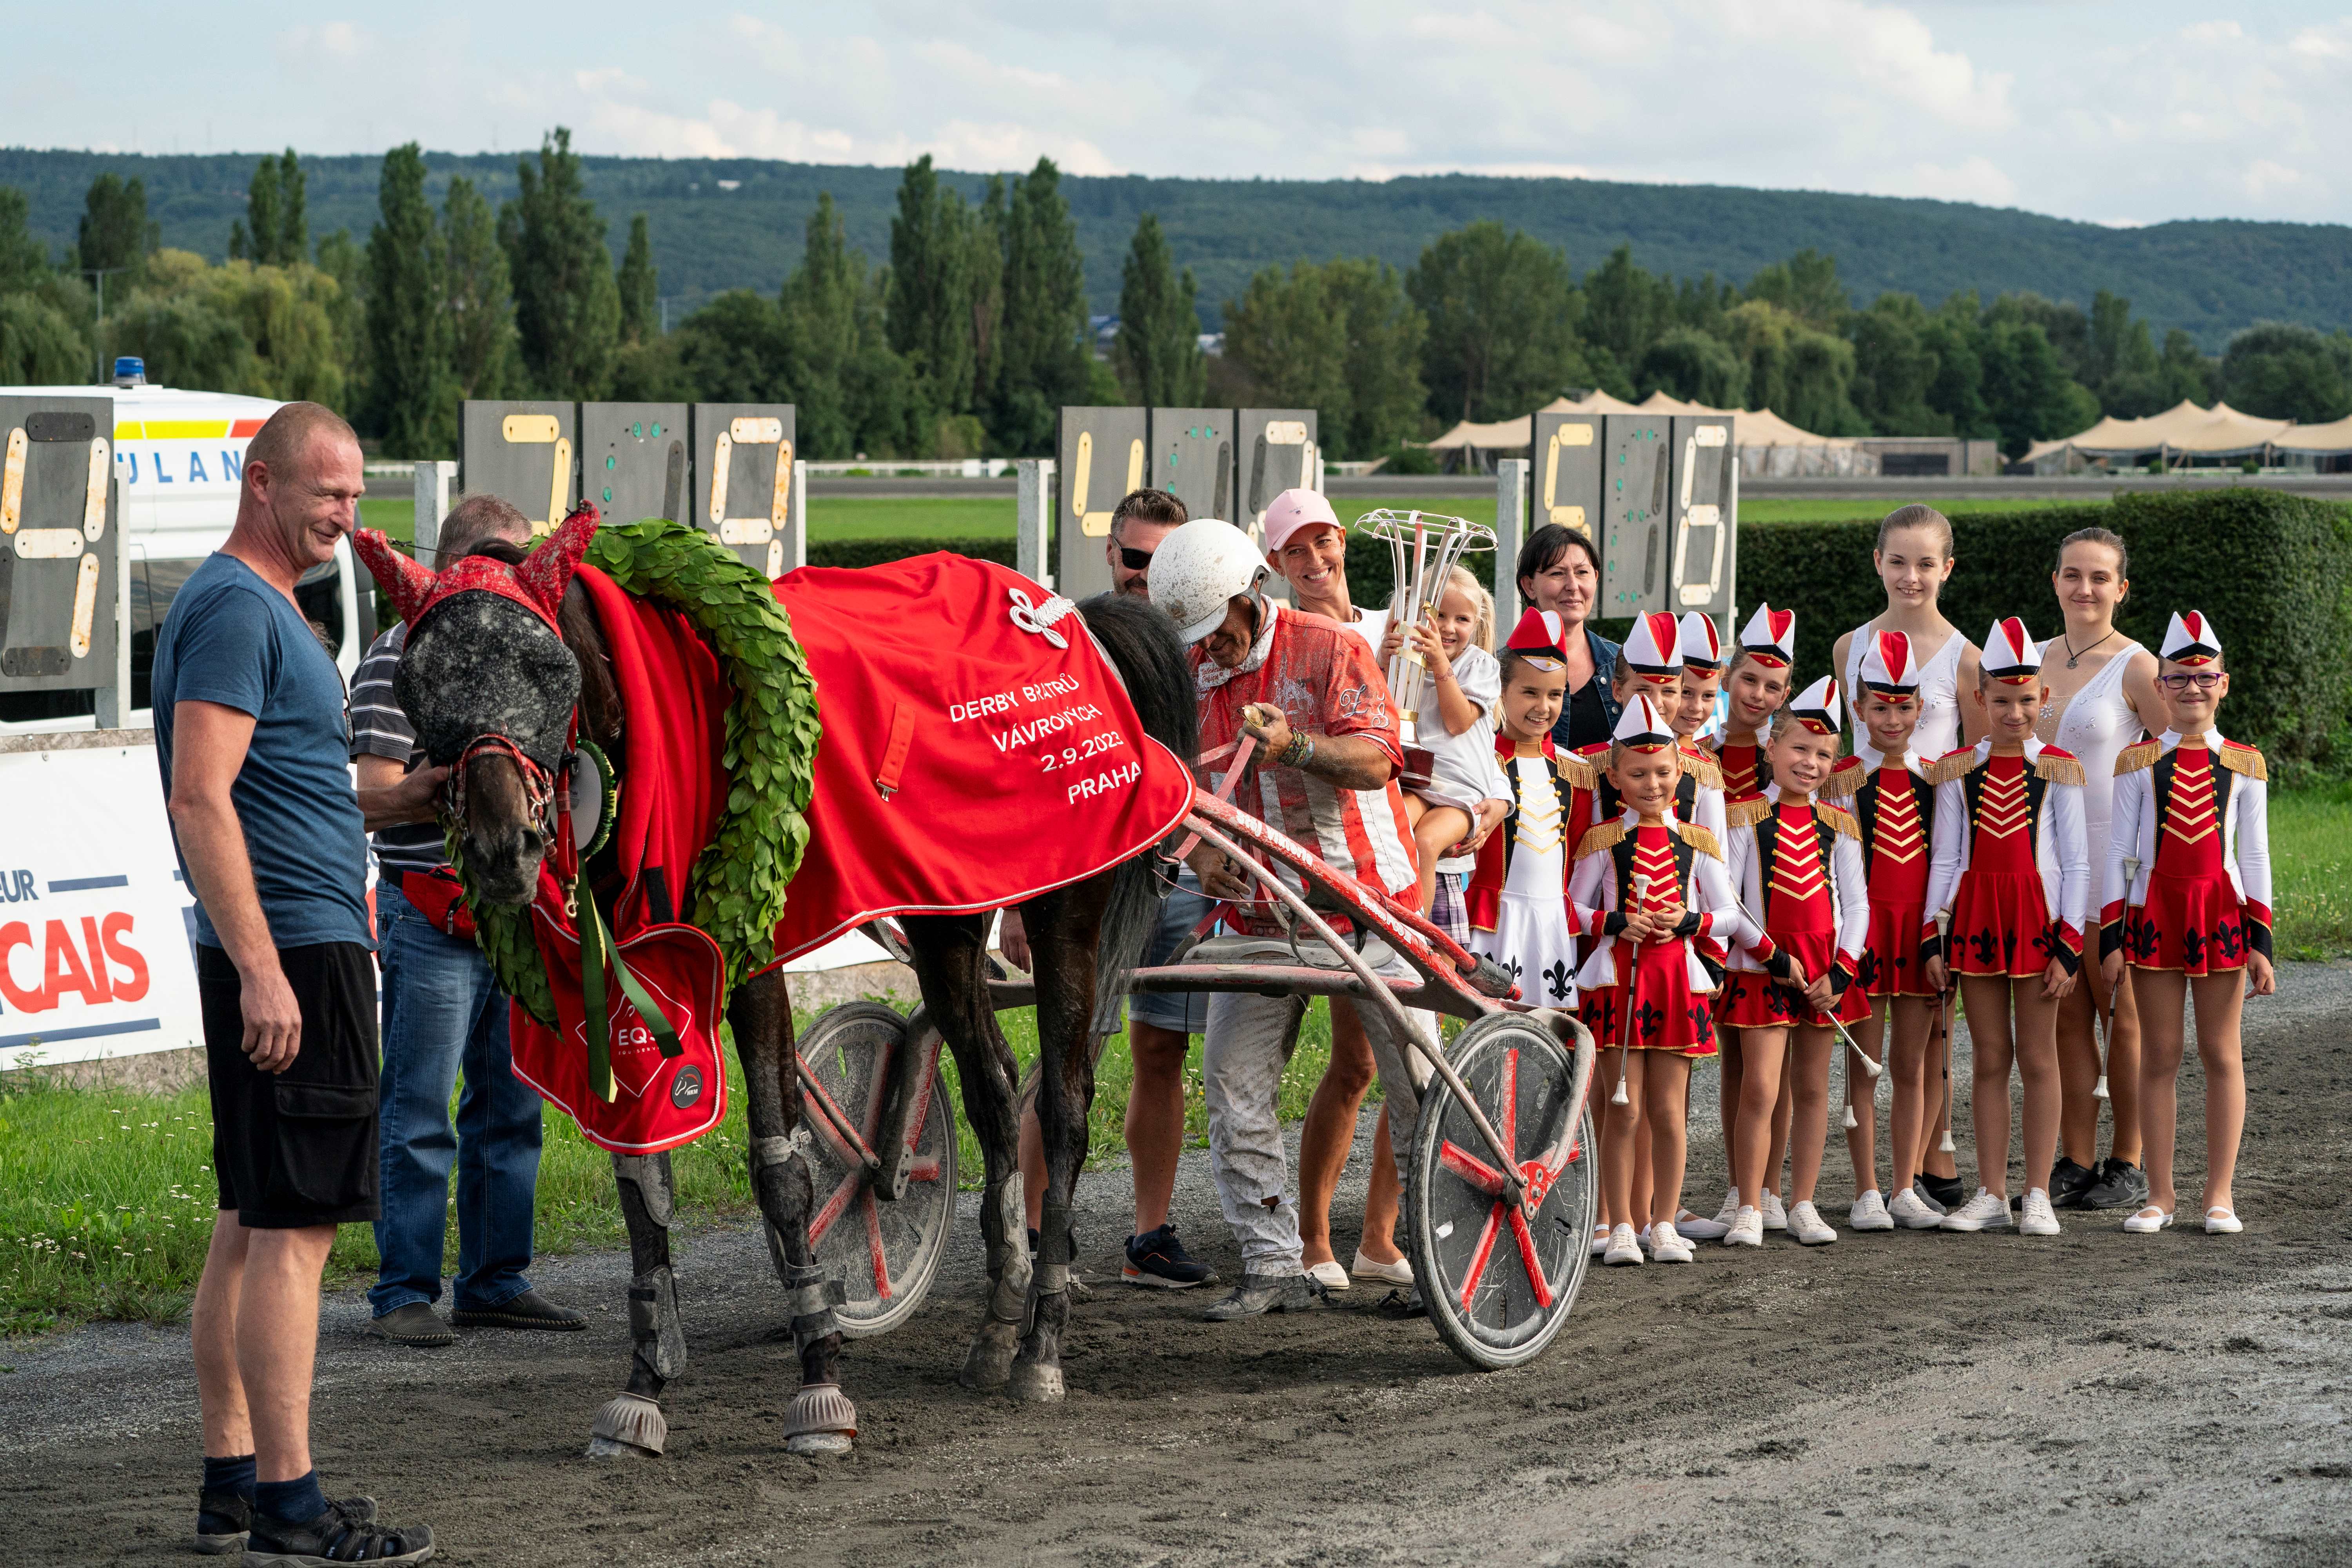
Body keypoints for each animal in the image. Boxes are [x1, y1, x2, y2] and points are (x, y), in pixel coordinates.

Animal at [381, 524, 1214, 1457]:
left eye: (548, 665)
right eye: (415, 681)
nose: (500, 848)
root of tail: (1069, 614)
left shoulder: (750, 960)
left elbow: (779, 1169)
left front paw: (820, 1382)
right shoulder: (625, 974)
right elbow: (641, 1184)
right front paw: (644, 1387)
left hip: (1067, 893)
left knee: (1064, 1108)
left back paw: (1041, 1348)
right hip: (948, 911)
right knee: (996, 1093)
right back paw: (998, 1327)